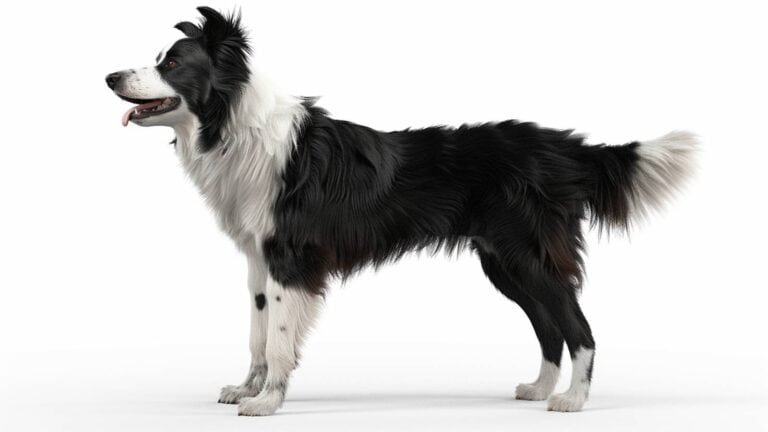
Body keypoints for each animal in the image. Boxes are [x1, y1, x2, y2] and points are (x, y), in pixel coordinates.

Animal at [105, 5, 700, 416]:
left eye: (172, 63)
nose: (109, 77)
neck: (233, 125)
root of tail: (565, 146)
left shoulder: (291, 260)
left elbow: (277, 337)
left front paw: (268, 401)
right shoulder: (259, 260)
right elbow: (257, 333)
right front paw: (247, 389)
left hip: (527, 255)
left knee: (578, 325)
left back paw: (573, 400)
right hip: (503, 262)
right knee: (549, 326)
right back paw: (539, 388)